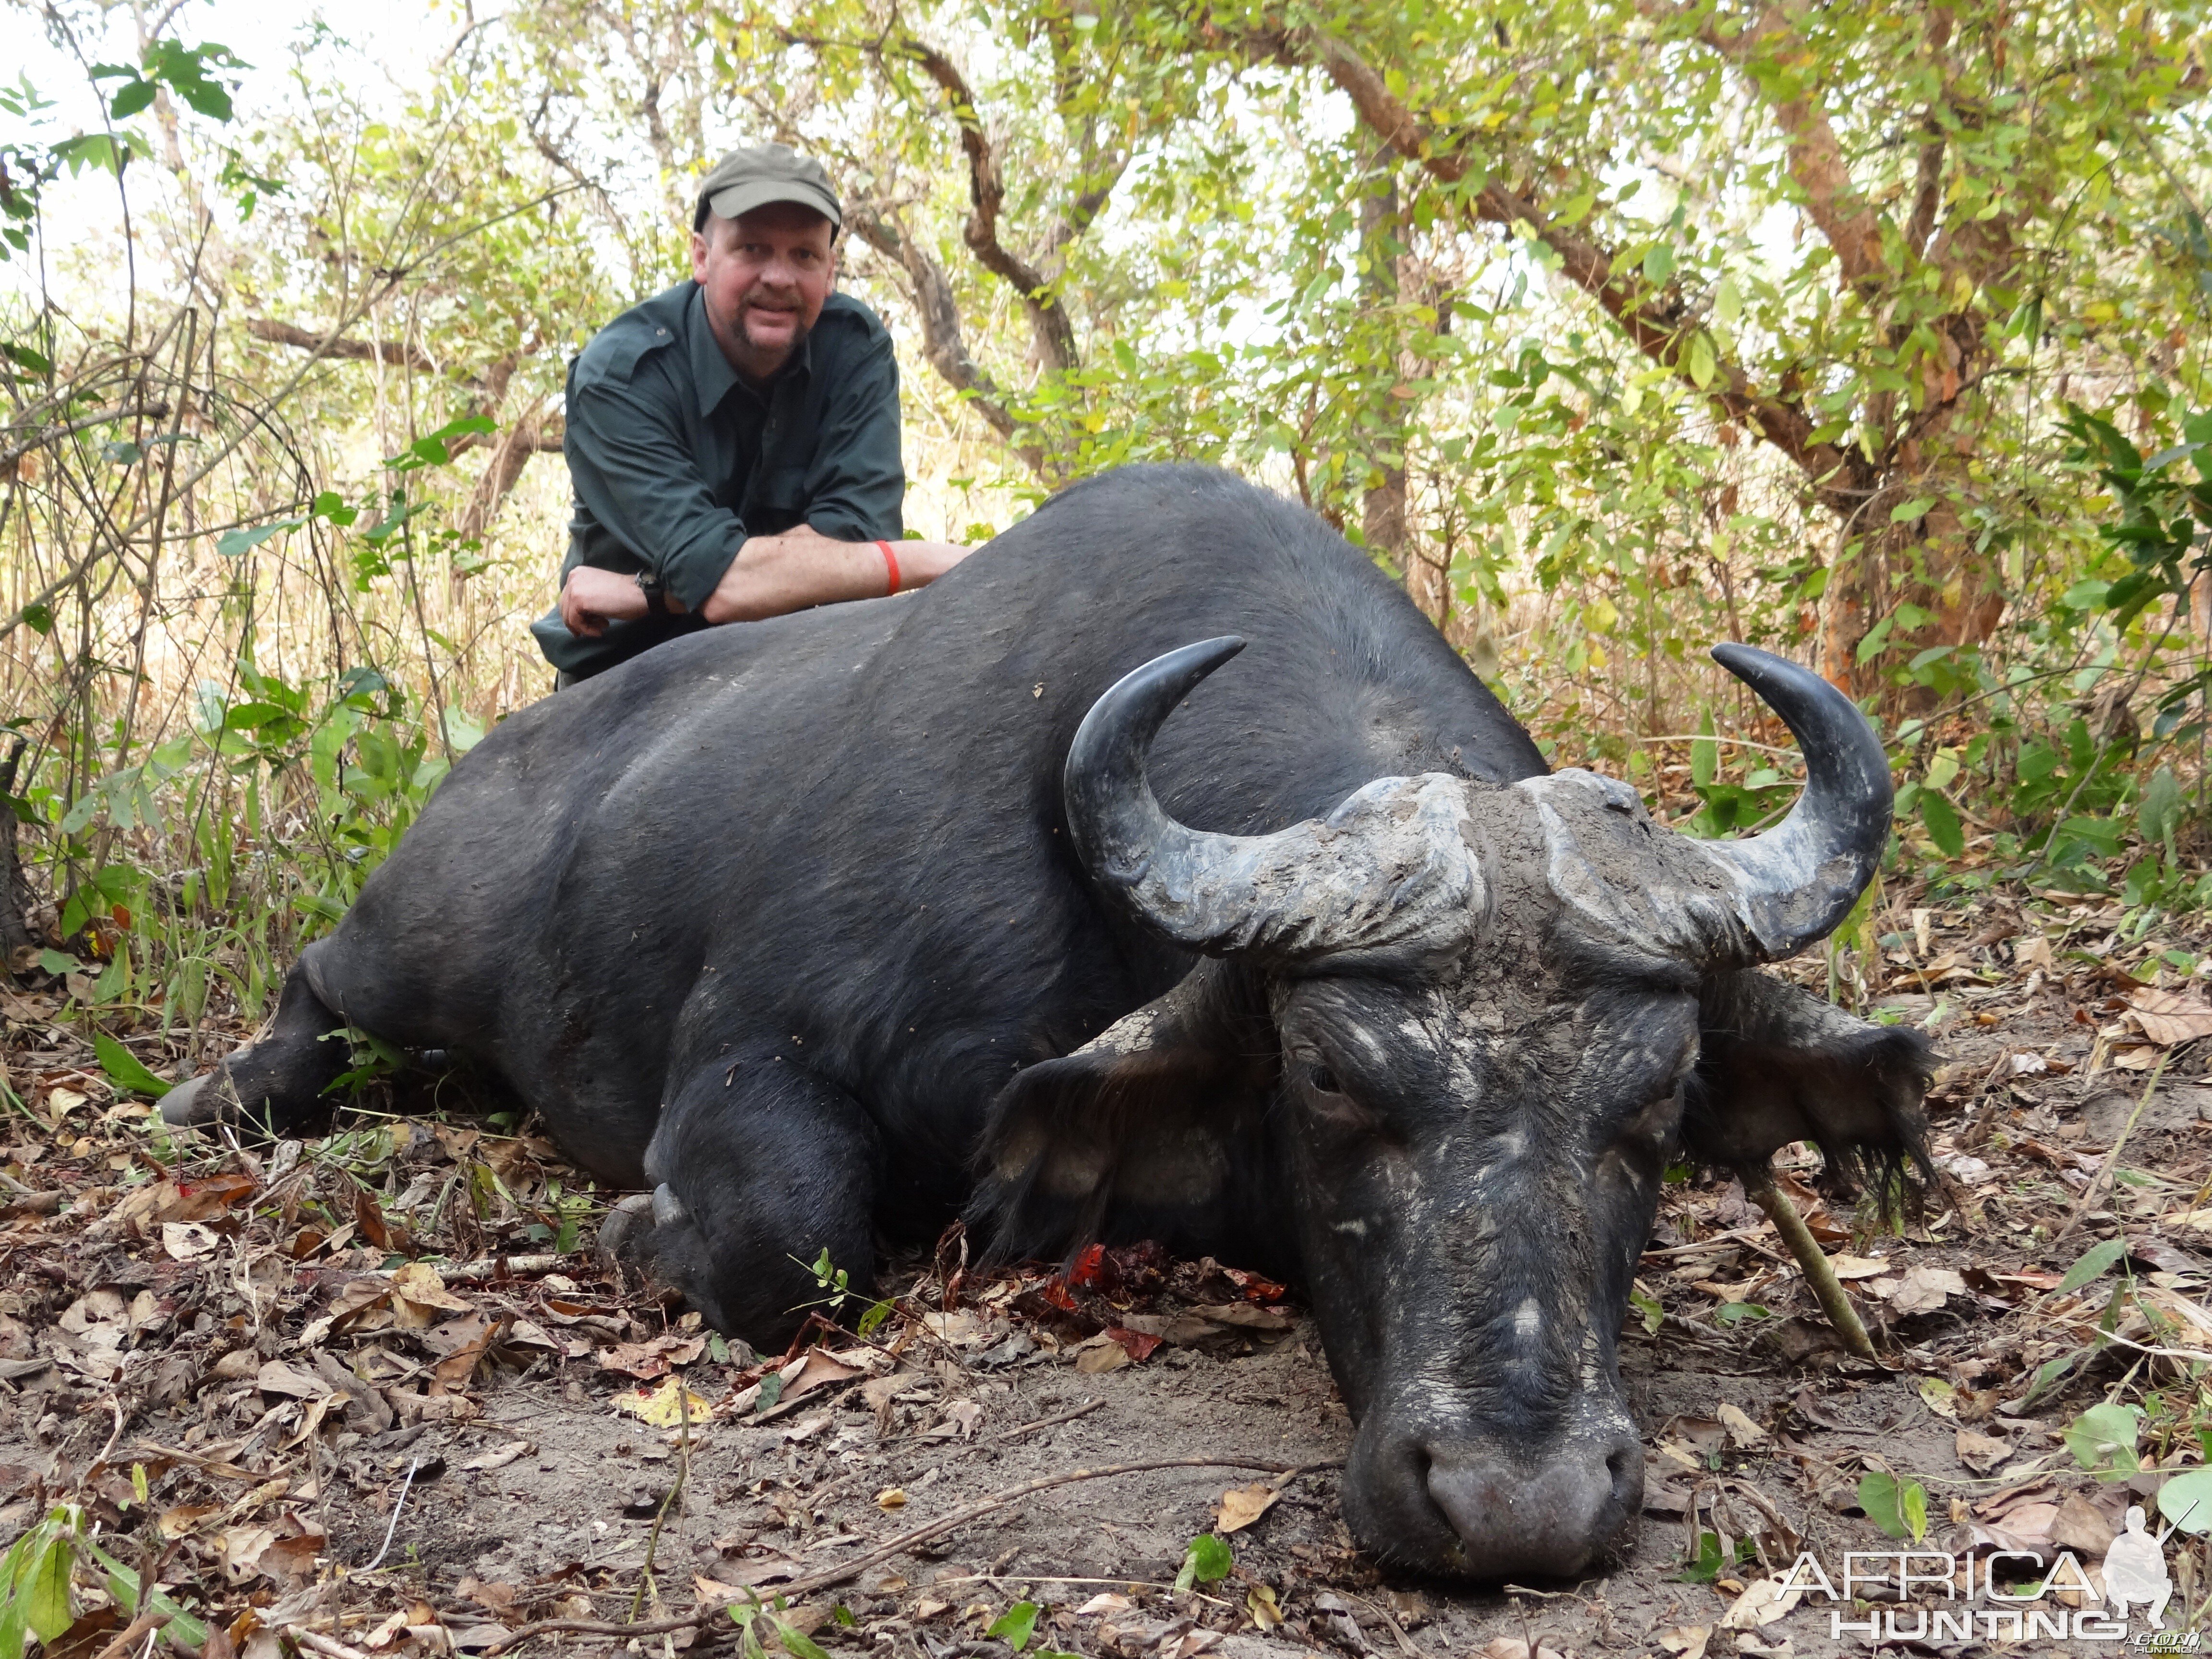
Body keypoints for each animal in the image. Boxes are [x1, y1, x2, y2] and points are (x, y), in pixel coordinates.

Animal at [163, 462, 1929, 1575]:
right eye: (1334, 1082)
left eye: (1654, 1102)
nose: (1518, 1501)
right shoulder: (757, 1061)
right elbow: (791, 1244)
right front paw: (629, 1230)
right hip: (415, 938)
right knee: (322, 983)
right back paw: (223, 1092)